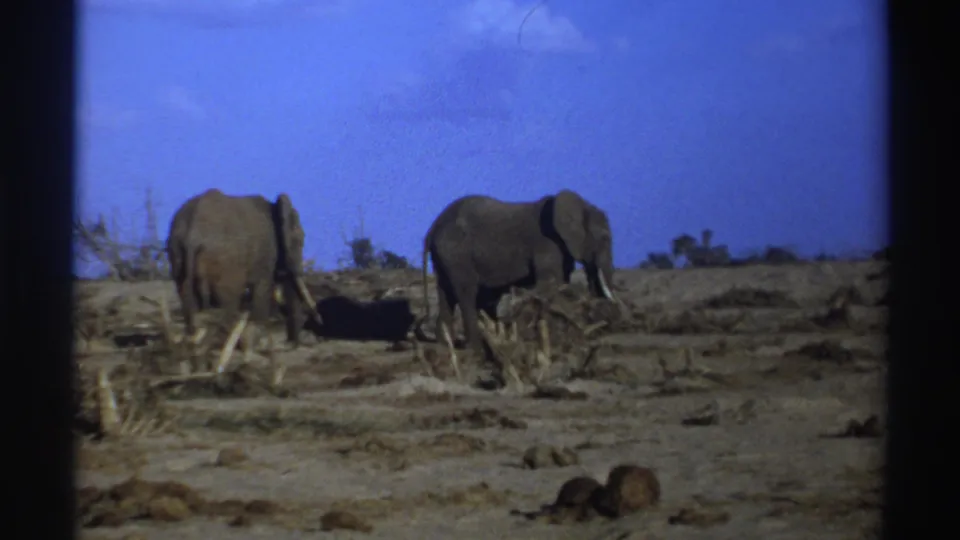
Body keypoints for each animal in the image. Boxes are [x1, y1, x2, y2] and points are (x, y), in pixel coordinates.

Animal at [165, 188, 321, 358]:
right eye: (299, 241)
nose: (291, 344)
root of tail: (193, 235)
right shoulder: (266, 253)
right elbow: (262, 289)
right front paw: (259, 343)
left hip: (177, 252)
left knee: (187, 297)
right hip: (226, 261)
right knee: (229, 299)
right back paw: (225, 345)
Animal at [418, 189, 618, 354]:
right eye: (605, 238)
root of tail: (432, 228)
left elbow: (561, 283)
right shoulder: (547, 244)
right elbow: (551, 283)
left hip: (445, 256)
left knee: (446, 293)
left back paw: (446, 346)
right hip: (456, 253)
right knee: (466, 292)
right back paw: (476, 350)